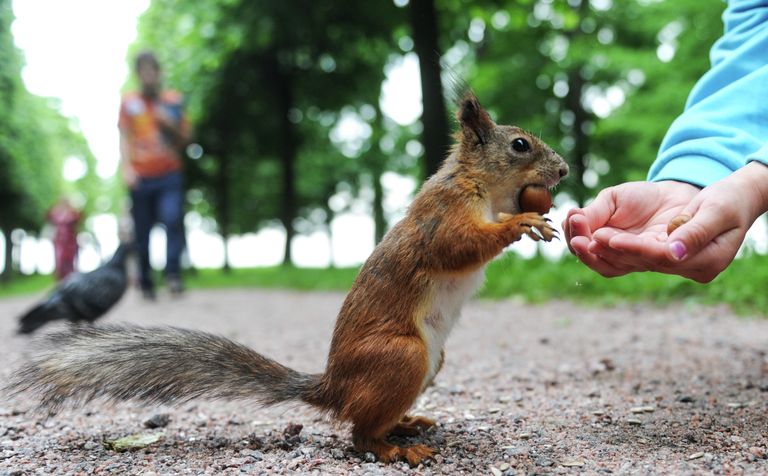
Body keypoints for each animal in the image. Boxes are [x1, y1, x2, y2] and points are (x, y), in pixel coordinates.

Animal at [8, 91, 568, 466]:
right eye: (520, 145)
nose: (563, 171)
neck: (481, 186)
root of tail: (332, 388)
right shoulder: (442, 215)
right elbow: (458, 246)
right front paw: (523, 222)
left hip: (429, 361)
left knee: (367, 419)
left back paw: (407, 424)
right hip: (403, 356)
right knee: (358, 435)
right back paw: (395, 450)